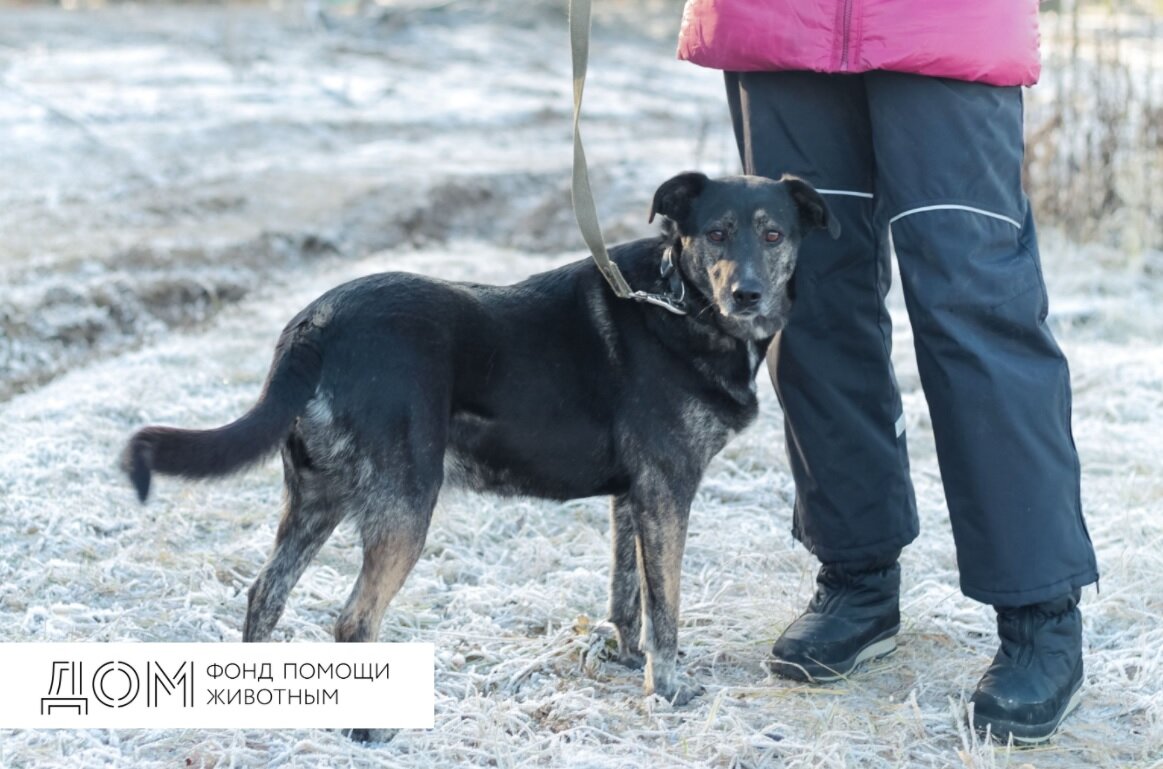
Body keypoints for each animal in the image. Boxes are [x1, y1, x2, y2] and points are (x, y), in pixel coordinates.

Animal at [125, 172, 837, 707]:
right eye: (716, 233)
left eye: (773, 234)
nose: (747, 294)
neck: (680, 301)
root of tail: (314, 323)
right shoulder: (668, 490)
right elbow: (665, 604)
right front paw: (668, 689)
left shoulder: (633, 497)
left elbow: (626, 593)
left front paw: (626, 660)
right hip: (407, 502)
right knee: (354, 622)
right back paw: (367, 729)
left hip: (317, 498)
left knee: (265, 594)